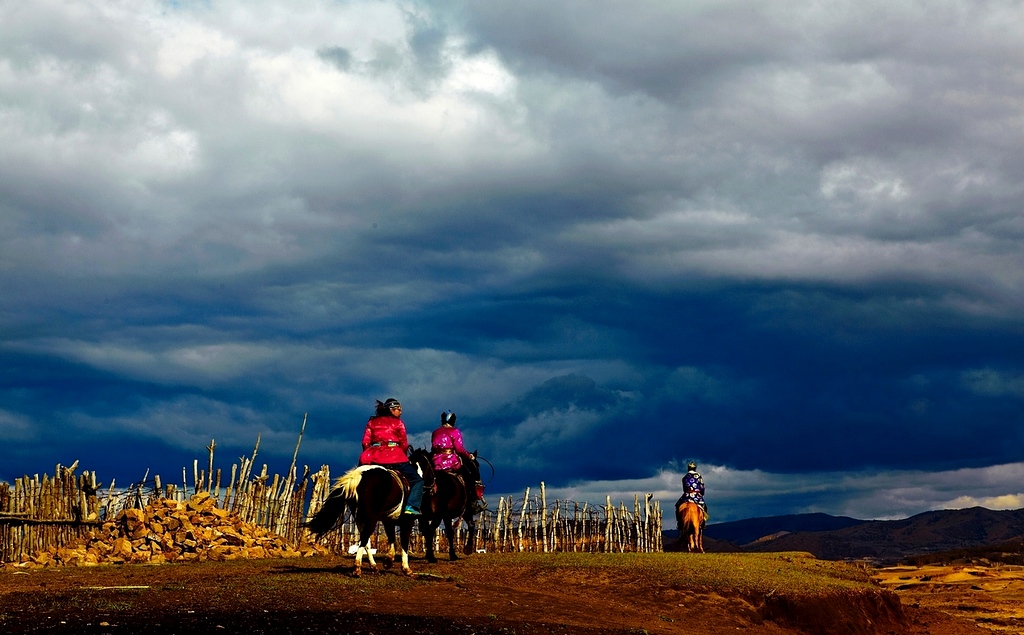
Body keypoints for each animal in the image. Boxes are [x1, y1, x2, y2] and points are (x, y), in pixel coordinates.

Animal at [303, 450, 432, 573]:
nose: (432, 485)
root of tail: (357, 476)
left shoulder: (388, 521)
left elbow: (392, 539)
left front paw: (388, 560)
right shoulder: (407, 521)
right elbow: (404, 542)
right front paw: (406, 568)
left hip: (360, 517)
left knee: (366, 541)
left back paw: (373, 566)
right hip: (371, 518)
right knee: (365, 537)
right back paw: (357, 568)